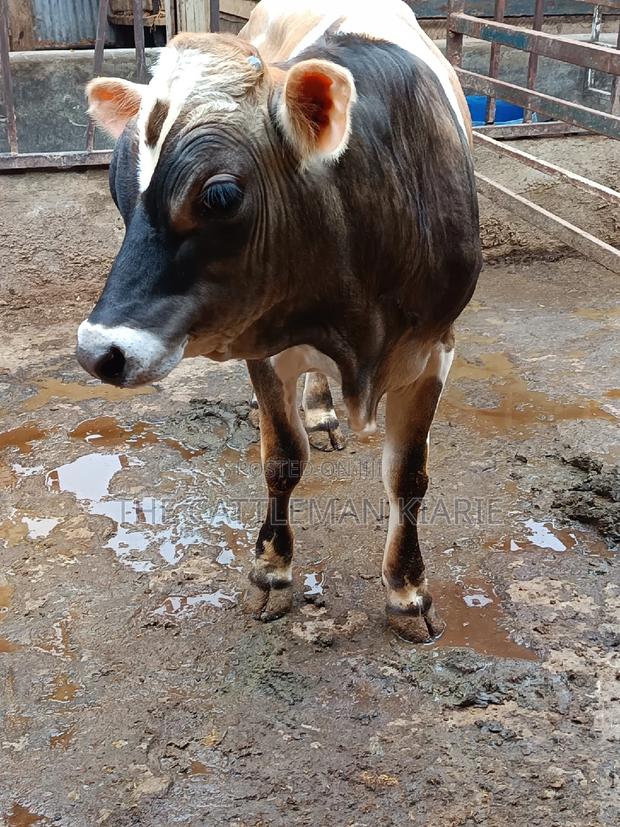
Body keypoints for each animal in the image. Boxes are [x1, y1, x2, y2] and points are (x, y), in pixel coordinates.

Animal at [76, 0, 482, 642]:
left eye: (218, 195)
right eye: (119, 190)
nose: (98, 352)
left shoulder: (435, 346)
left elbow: (408, 476)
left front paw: (409, 592)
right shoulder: (264, 345)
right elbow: (282, 459)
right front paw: (271, 571)